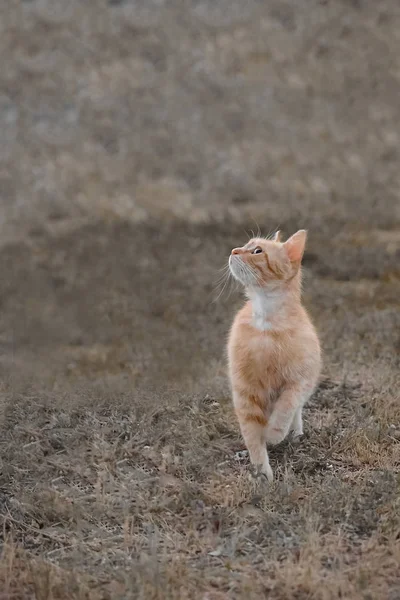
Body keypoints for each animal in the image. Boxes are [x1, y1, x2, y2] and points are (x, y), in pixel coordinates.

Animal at [228, 231, 322, 482]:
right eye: (245, 245)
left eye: (257, 251)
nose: (233, 250)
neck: (266, 323)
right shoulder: (245, 390)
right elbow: (252, 435)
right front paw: (262, 473)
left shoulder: (300, 380)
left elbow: (287, 405)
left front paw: (275, 432)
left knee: (296, 410)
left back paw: (295, 432)